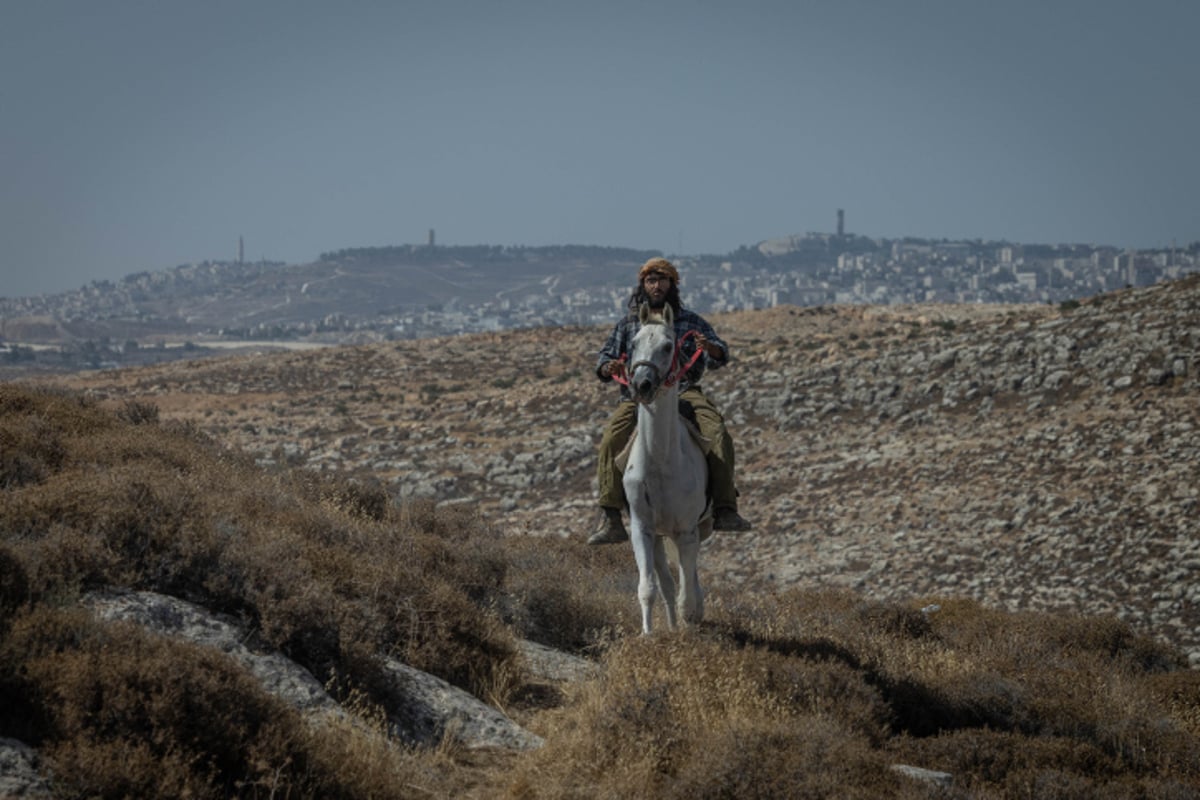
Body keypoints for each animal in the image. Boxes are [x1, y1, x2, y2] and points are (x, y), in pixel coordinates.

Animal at [619, 303, 710, 633]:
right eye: (633, 344)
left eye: (669, 346)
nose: (642, 384)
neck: (660, 461)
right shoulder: (642, 528)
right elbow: (648, 588)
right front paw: (649, 636)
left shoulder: (686, 531)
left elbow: (688, 595)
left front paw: (690, 629)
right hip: (660, 536)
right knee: (669, 584)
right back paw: (671, 627)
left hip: (694, 531)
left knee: (690, 583)